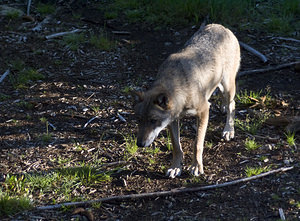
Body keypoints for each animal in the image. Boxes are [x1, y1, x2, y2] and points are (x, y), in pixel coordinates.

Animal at [134, 24, 239, 179]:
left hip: (228, 85)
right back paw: (223, 107)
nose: (140, 144)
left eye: (153, 121)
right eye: (139, 120)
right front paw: (175, 167)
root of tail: (222, 27)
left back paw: (228, 130)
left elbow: (197, 144)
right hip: (219, 84)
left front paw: (196, 166)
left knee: (232, 104)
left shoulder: (204, 111)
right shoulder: (172, 121)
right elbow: (176, 146)